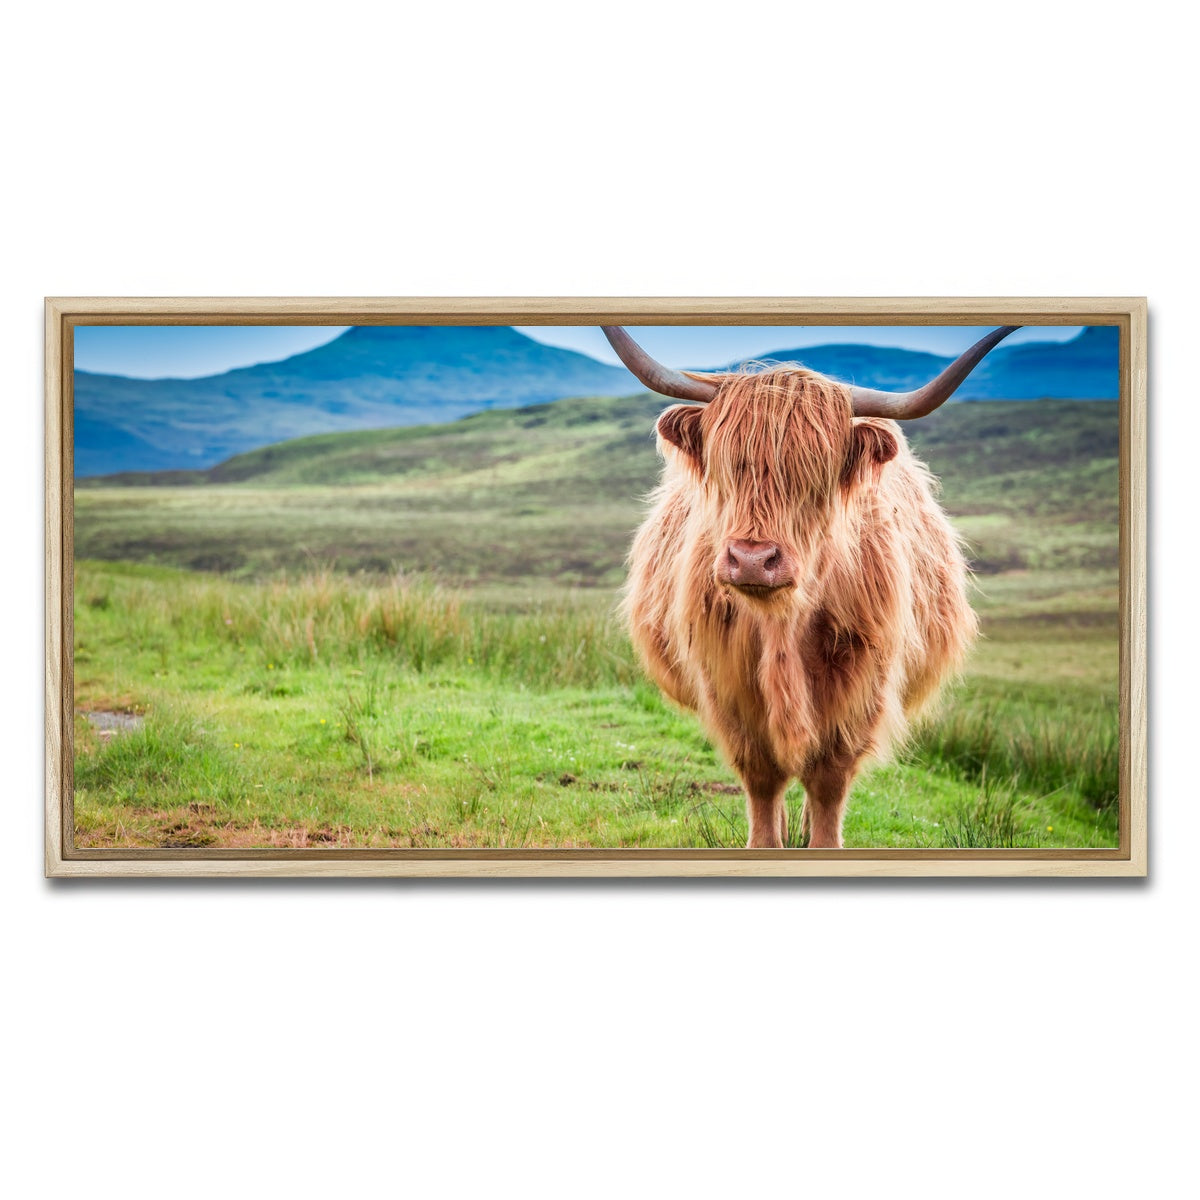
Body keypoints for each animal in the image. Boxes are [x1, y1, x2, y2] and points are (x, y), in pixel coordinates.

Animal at [603, 324, 1019, 848]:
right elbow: (761, 777)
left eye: (816, 476)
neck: (782, 625)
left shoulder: (860, 689)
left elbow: (828, 781)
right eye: (727, 466)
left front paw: (821, 842)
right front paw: (766, 841)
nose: (753, 560)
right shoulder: (726, 686)